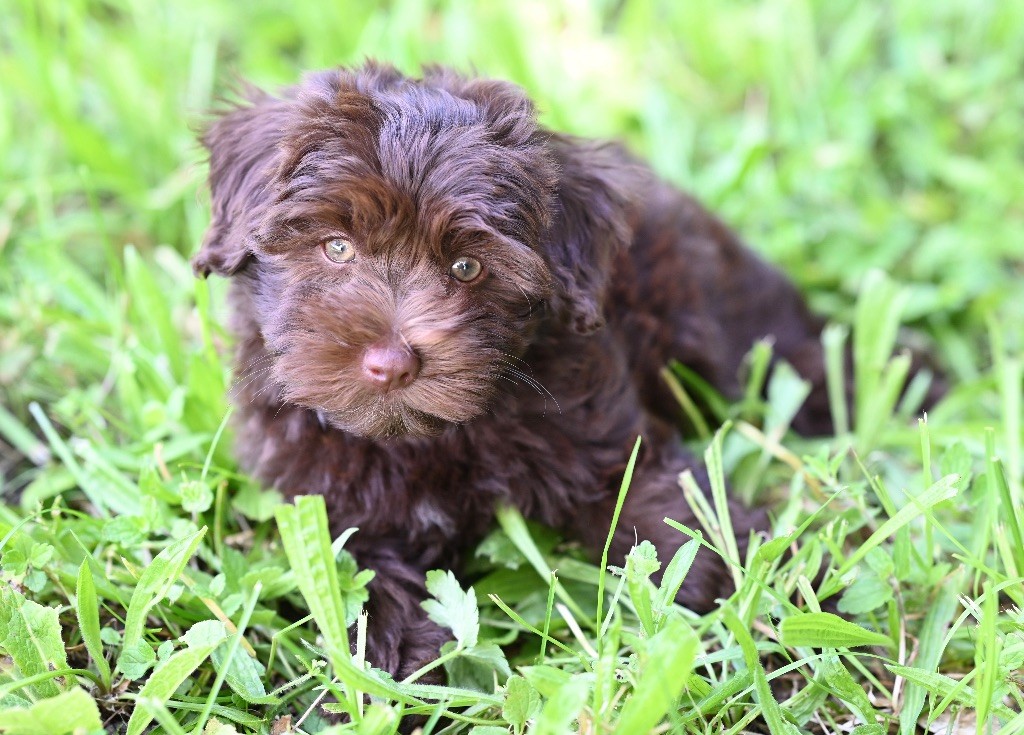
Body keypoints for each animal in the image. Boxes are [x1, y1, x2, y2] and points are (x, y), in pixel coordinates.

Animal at [195, 63, 835, 679]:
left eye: (467, 267)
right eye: (336, 248)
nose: (391, 364)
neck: (424, 441)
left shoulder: (601, 432)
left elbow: (659, 505)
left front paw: (736, 592)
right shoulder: (325, 499)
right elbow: (360, 575)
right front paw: (383, 663)